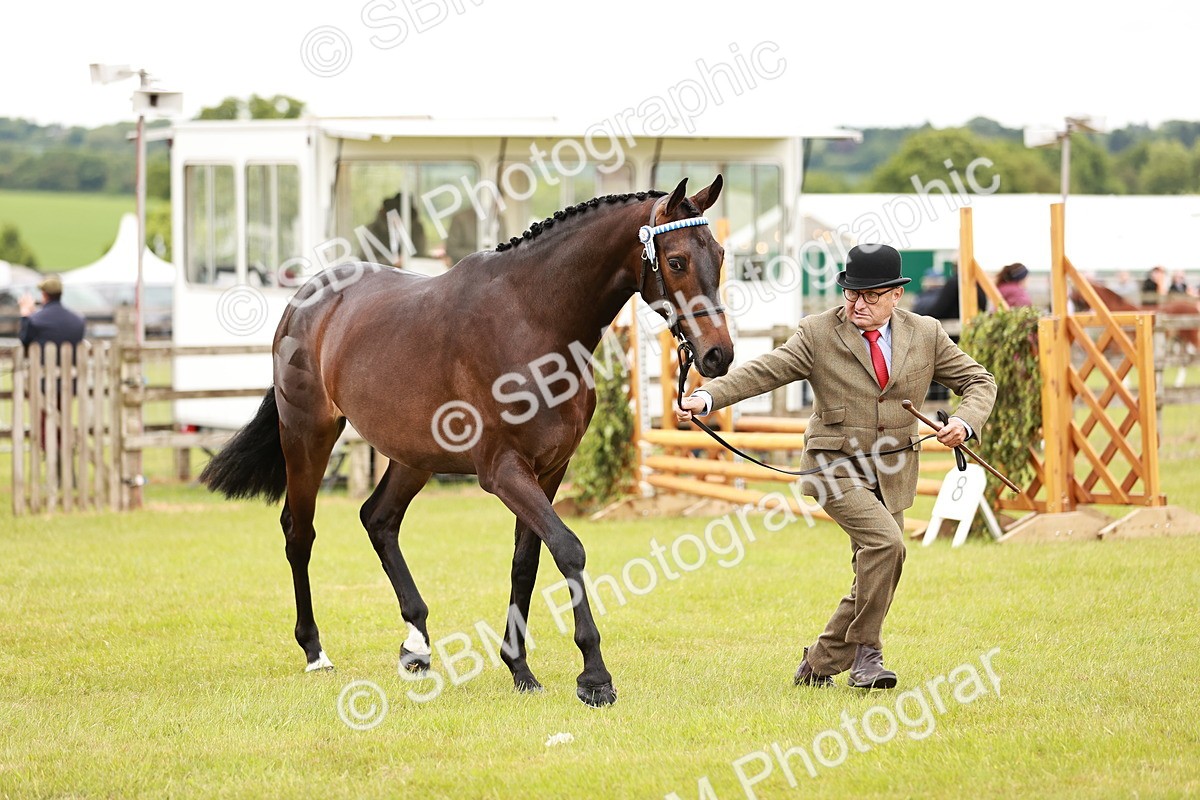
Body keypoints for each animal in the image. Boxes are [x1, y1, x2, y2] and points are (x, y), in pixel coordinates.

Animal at [199, 177, 732, 706]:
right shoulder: (503, 471)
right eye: (677, 261)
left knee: (378, 519)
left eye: (721, 254)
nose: (718, 355)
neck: (533, 320)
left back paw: (416, 646)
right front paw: (594, 677)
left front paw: (520, 668)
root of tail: (305, 299)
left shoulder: (549, 470)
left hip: (412, 456)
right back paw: (315, 651)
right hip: (308, 435)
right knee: (300, 532)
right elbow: (568, 548)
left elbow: (527, 561)